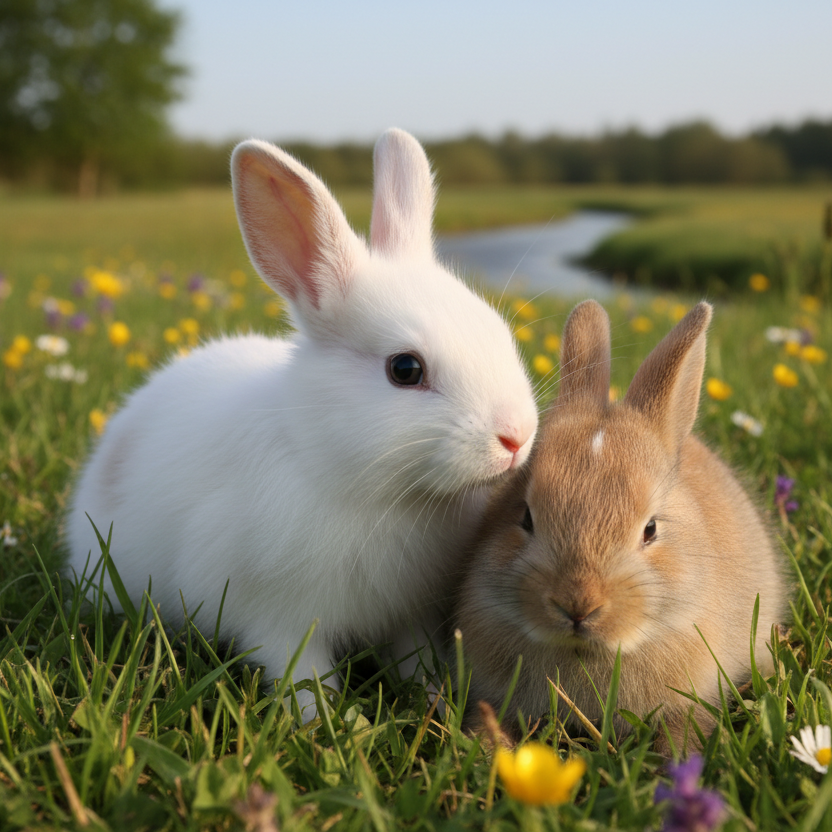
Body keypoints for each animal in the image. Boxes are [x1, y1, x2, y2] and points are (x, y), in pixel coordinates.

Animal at [66, 128, 539, 717]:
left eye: (499, 331)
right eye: (405, 369)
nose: (516, 437)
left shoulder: (411, 615)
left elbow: (415, 656)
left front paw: (433, 699)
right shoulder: (278, 618)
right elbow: (303, 673)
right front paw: (333, 722)